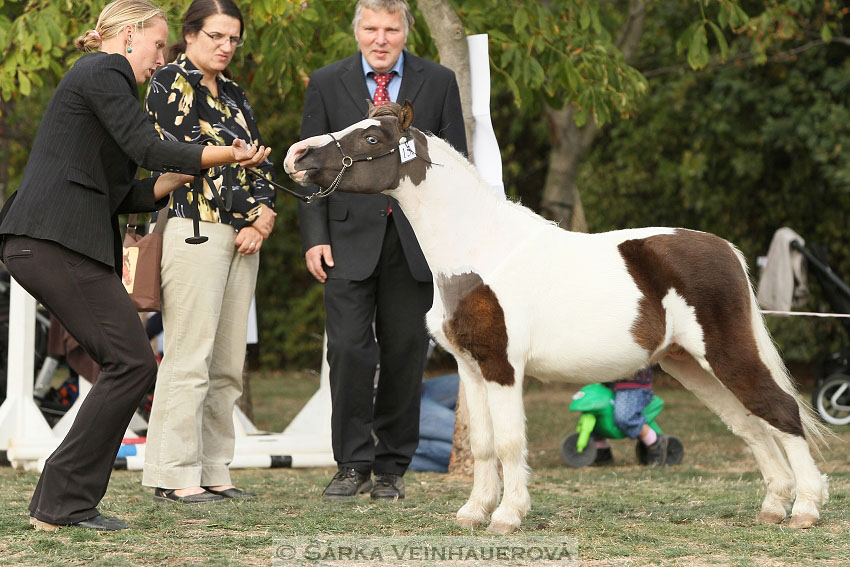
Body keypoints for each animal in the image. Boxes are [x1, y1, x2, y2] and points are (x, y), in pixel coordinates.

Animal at [282, 104, 824, 536]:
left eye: (372, 138)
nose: (296, 156)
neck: (479, 252)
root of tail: (726, 250)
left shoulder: (502, 368)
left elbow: (508, 442)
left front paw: (507, 516)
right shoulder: (469, 369)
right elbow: (482, 444)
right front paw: (474, 512)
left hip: (726, 355)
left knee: (780, 412)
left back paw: (805, 509)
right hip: (689, 364)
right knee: (750, 424)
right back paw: (774, 506)